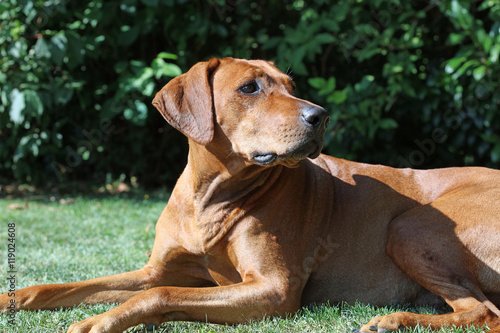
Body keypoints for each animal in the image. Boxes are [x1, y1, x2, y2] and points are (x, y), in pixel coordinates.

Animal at [0, 57, 500, 332]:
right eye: (249, 87)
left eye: (292, 88)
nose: (320, 116)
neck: (212, 198)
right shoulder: (155, 269)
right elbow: (67, 286)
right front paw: (12, 298)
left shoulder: (274, 289)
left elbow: (159, 294)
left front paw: (100, 320)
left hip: (410, 225)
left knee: (483, 312)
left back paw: (392, 321)